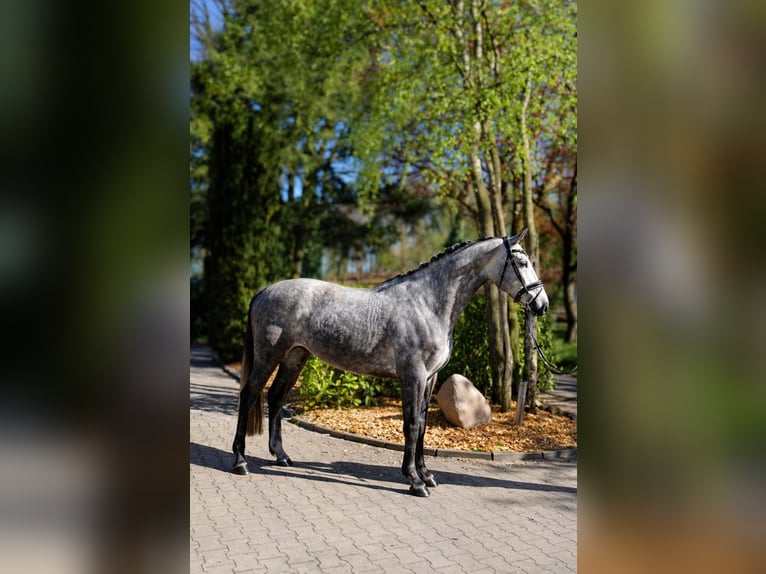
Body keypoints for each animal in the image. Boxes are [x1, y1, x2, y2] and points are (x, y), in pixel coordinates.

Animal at [232, 229, 549, 497]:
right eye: (521, 262)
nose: (542, 304)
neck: (427, 304)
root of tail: (264, 291)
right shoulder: (413, 376)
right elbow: (411, 425)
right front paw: (414, 481)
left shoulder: (430, 378)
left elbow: (423, 424)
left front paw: (426, 474)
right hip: (269, 355)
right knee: (249, 396)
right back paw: (240, 461)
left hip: (295, 356)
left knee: (275, 397)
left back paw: (282, 456)